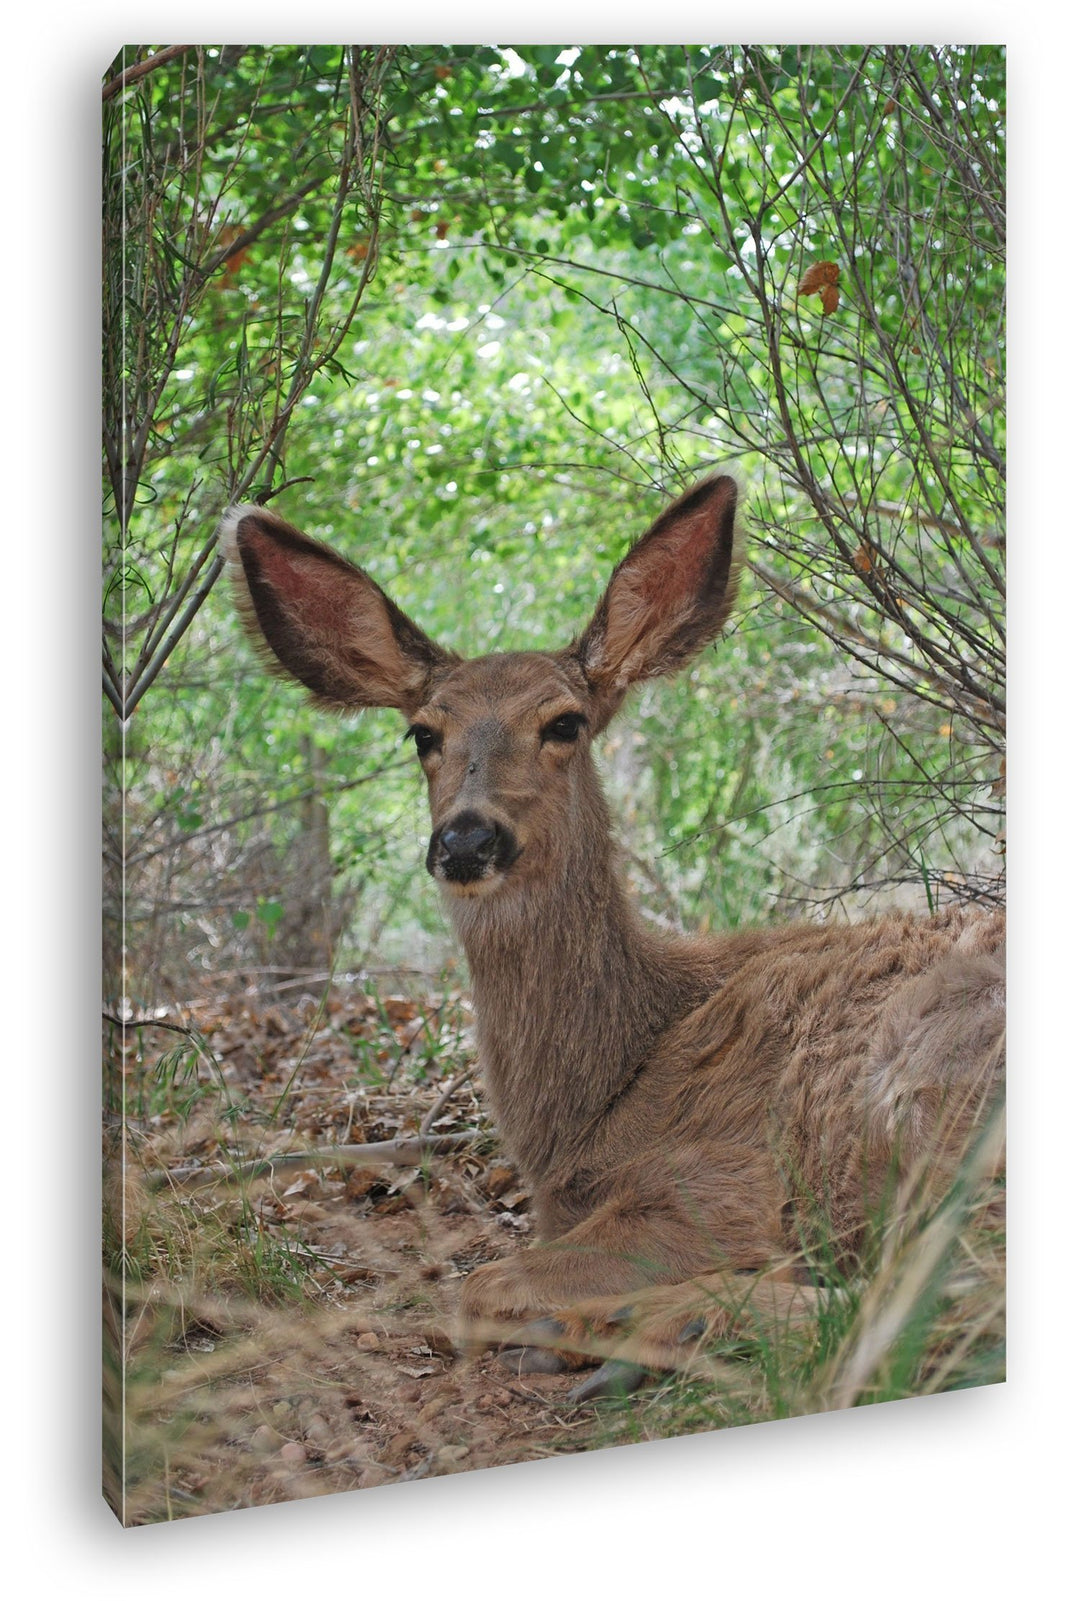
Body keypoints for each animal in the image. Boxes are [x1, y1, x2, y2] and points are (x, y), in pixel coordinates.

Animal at [221, 474, 1005, 1401]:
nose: (466, 838)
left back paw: (640, 1326)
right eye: (423, 733)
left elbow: (476, 1286)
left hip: (921, 1099)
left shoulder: (723, 1179)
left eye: (565, 722)